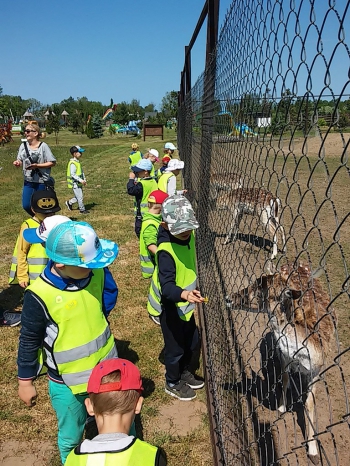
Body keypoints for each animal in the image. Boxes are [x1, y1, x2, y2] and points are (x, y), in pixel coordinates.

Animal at [232, 264, 336, 464]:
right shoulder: (284, 355)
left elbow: (309, 403)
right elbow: (285, 377)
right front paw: (281, 408)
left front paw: (313, 452)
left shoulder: (316, 370)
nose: (230, 298)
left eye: (258, 288)